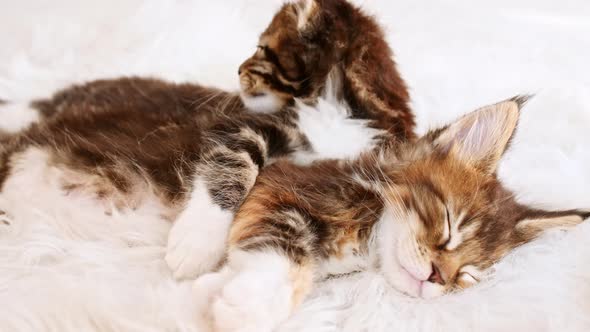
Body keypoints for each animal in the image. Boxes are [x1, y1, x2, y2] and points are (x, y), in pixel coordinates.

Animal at [0, 0, 414, 280]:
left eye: (261, 49)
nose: (238, 70)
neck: (343, 109)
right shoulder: (239, 125)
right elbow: (232, 166)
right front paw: (196, 243)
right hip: (95, 95)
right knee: (38, 103)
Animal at [197, 96, 588, 332]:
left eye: (468, 274)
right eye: (450, 223)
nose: (436, 278)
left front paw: (213, 295)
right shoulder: (280, 185)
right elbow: (286, 249)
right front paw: (252, 305)